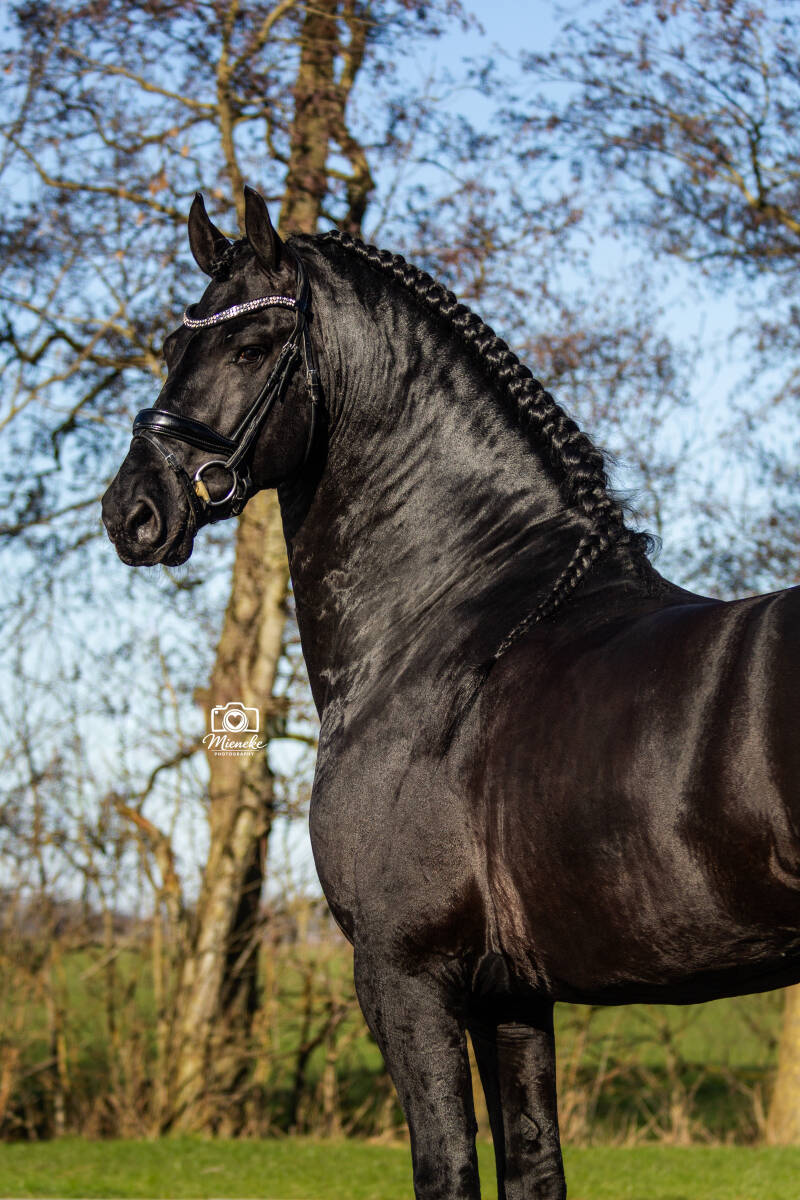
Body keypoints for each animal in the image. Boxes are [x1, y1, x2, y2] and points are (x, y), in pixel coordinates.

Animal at [102, 187, 800, 1200]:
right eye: (168, 345)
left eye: (251, 347)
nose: (134, 512)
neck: (456, 626)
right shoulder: (512, 997)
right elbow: (533, 1168)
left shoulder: (408, 978)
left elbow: (449, 1172)